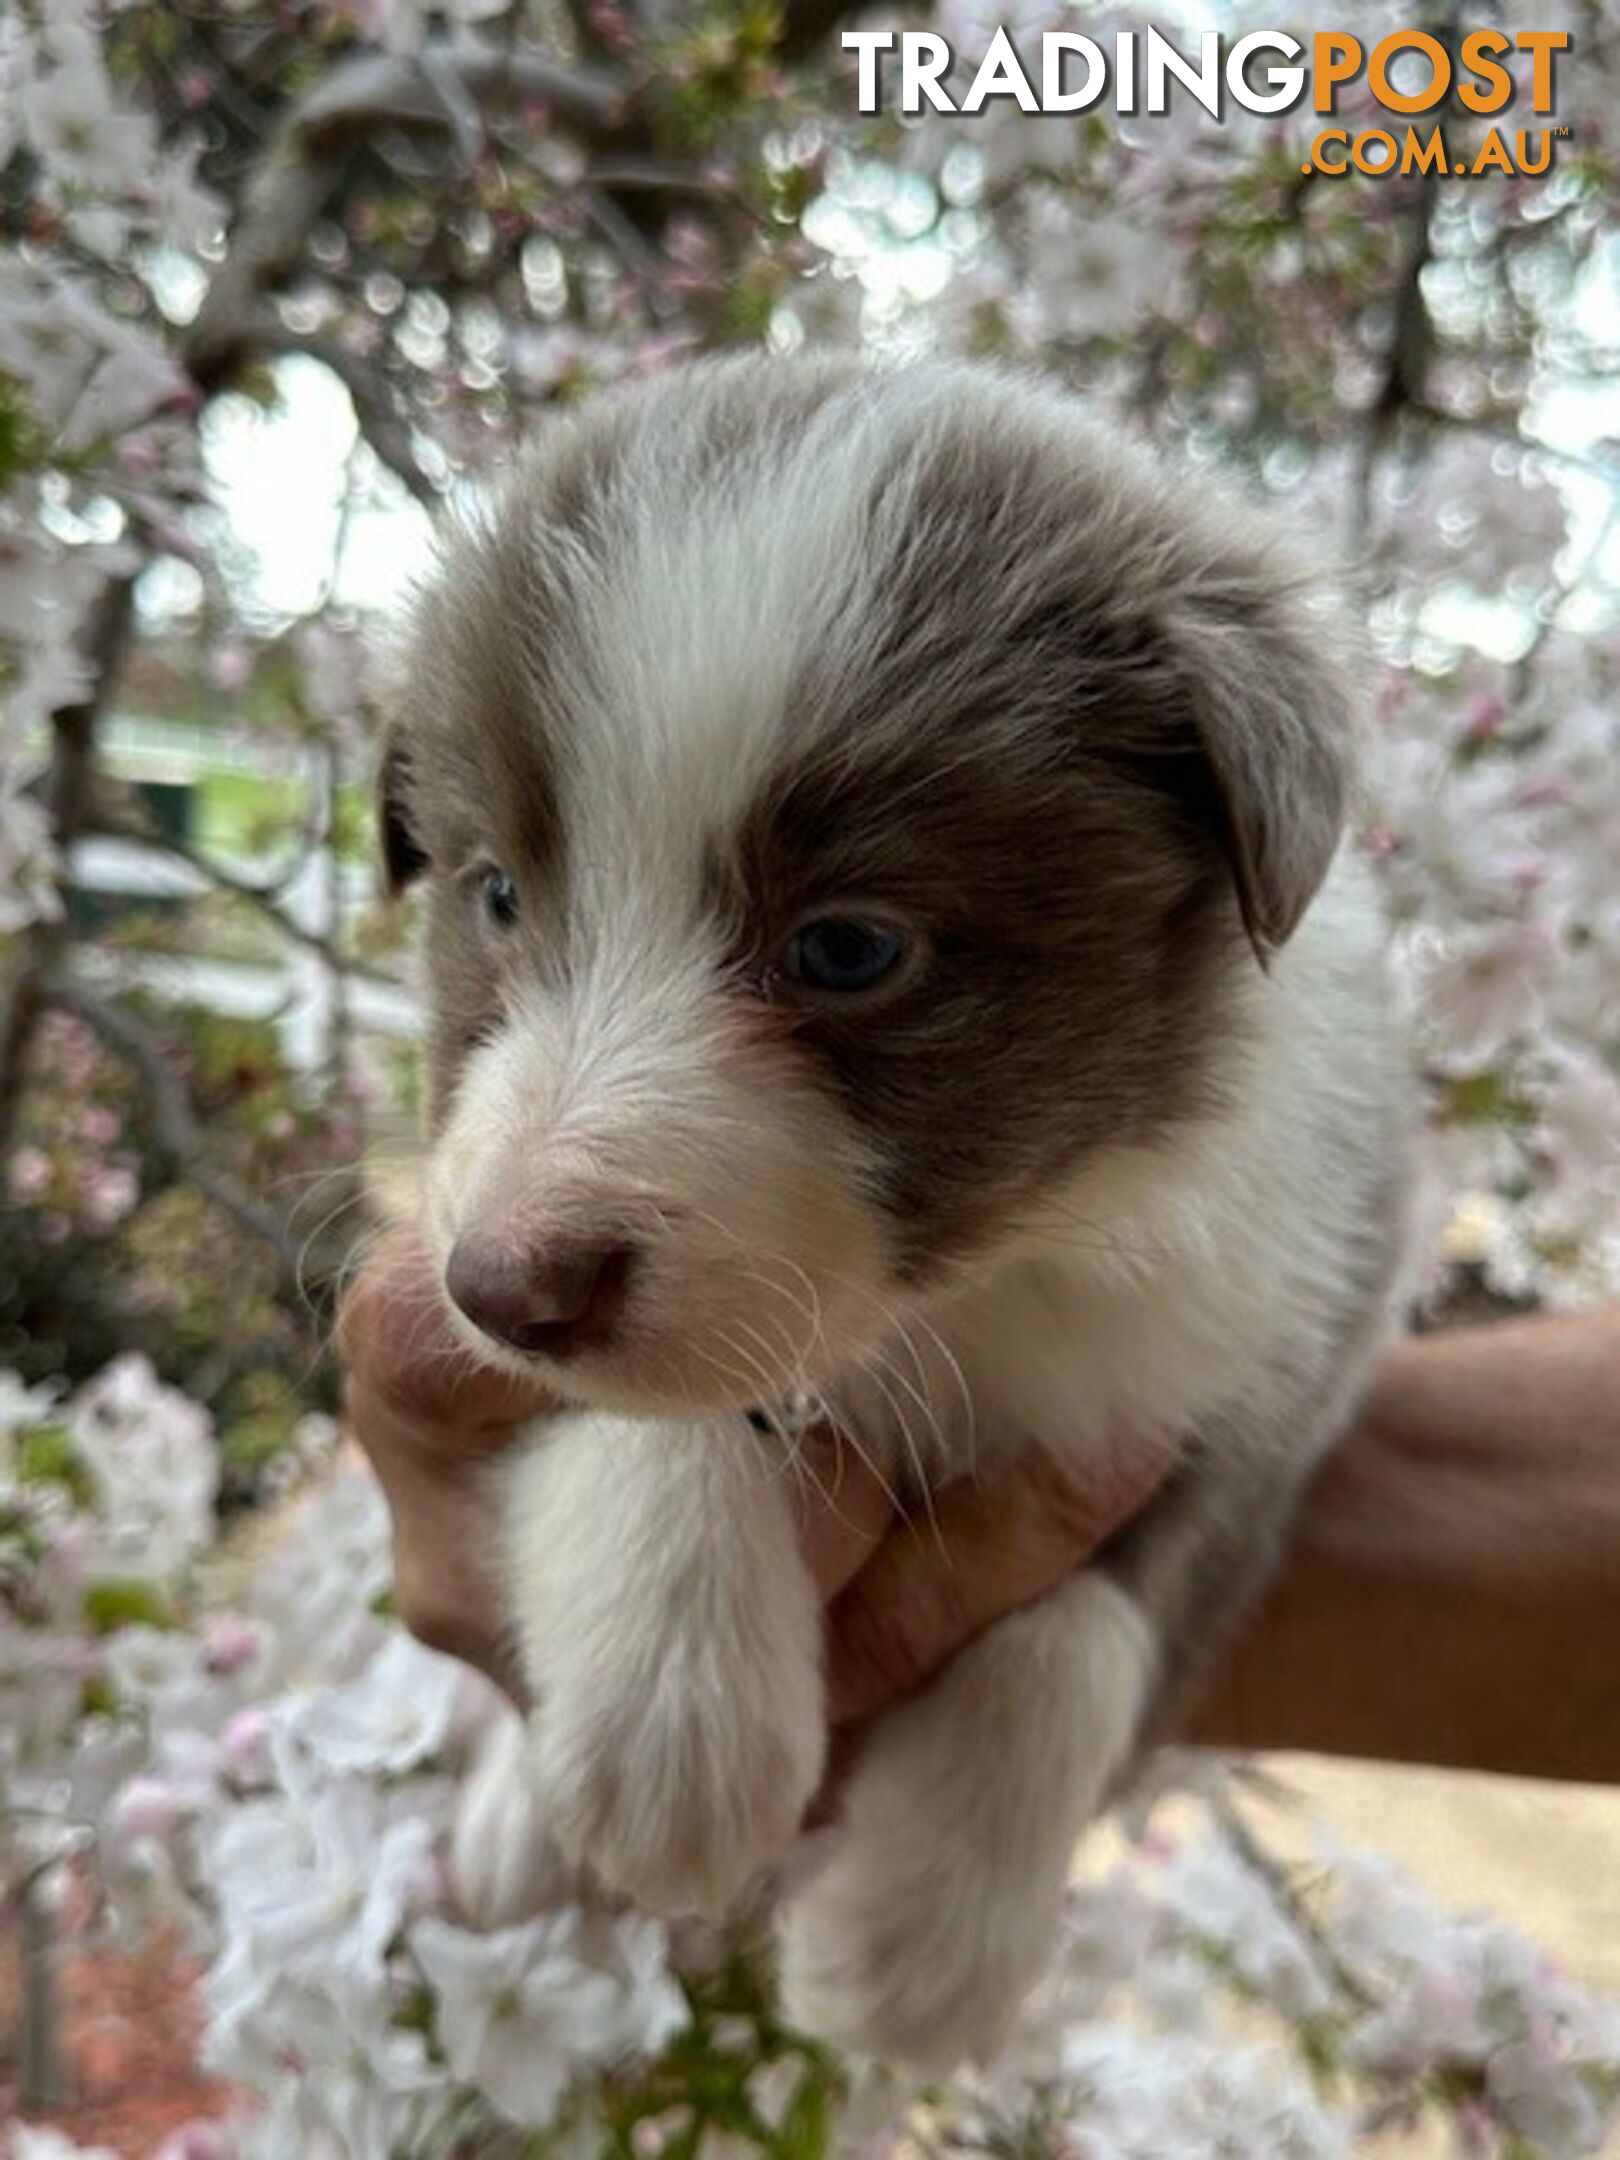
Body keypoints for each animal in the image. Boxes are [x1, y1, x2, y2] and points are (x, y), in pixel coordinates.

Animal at [378, 358, 1408, 2073]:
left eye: (849, 948)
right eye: (500, 896)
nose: (503, 1285)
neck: (966, 1297)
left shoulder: (1287, 1348)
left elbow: (1091, 1618)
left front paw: (926, 1942)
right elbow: (640, 1407)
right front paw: (670, 1718)